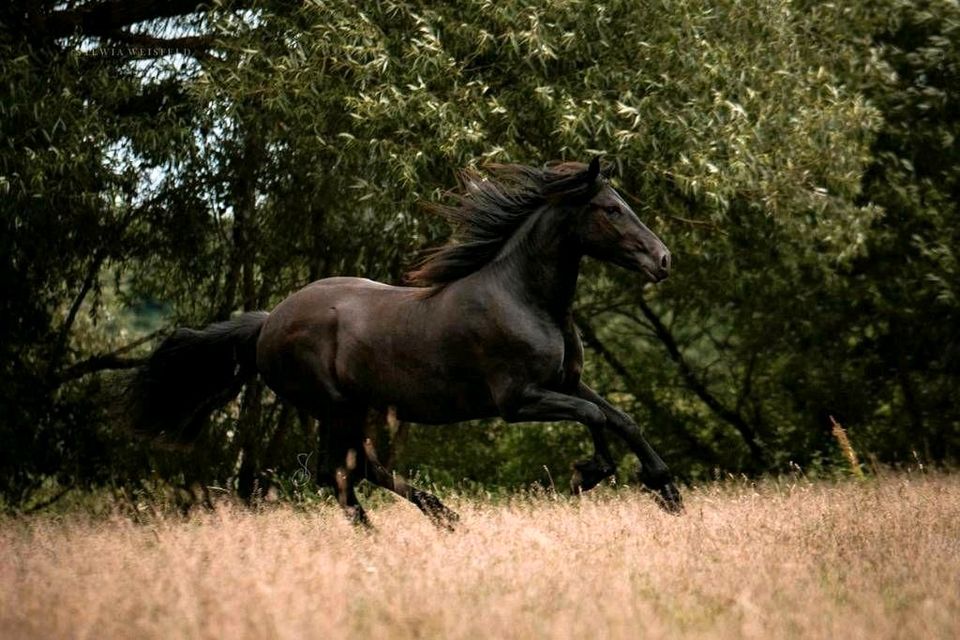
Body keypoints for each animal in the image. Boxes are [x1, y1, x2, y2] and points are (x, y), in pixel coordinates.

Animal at [127, 159, 684, 524]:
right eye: (611, 209)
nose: (663, 260)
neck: (524, 297)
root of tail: (267, 322)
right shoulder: (518, 400)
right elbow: (594, 418)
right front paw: (591, 473)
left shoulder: (567, 383)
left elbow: (621, 418)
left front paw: (667, 489)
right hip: (335, 408)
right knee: (336, 474)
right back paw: (387, 533)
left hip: (355, 408)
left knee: (358, 469)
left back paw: (443, 517)